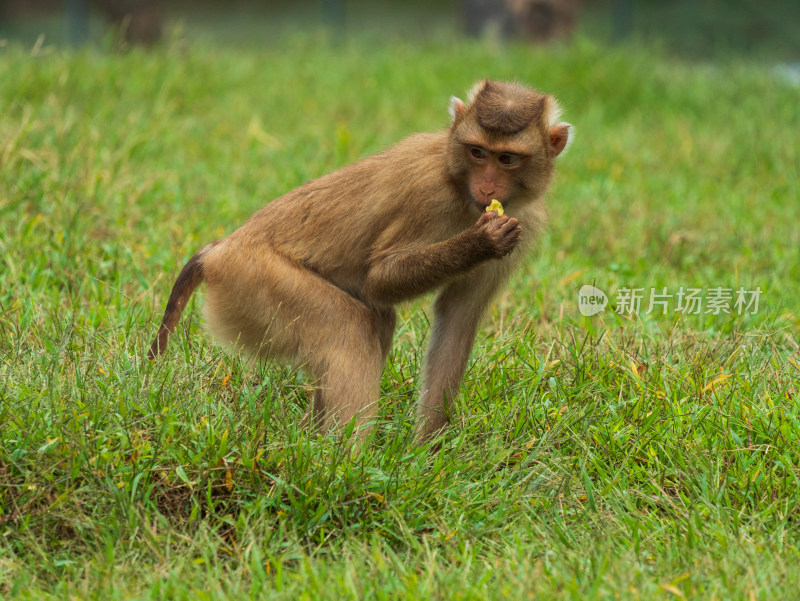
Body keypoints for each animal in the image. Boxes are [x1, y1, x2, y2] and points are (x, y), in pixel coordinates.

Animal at [147, 81, 572, 440]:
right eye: (477, 152)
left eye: (507, 159)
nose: (487, 187)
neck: (461, 189)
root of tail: (219, 250)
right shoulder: (429, 195)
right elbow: (380, 279)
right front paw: (479, 241)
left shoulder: (525, 223)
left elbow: (458, 317)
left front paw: (427, 455)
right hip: (252, 279)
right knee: (350, 329)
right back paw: (339, 464)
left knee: (373, 324)